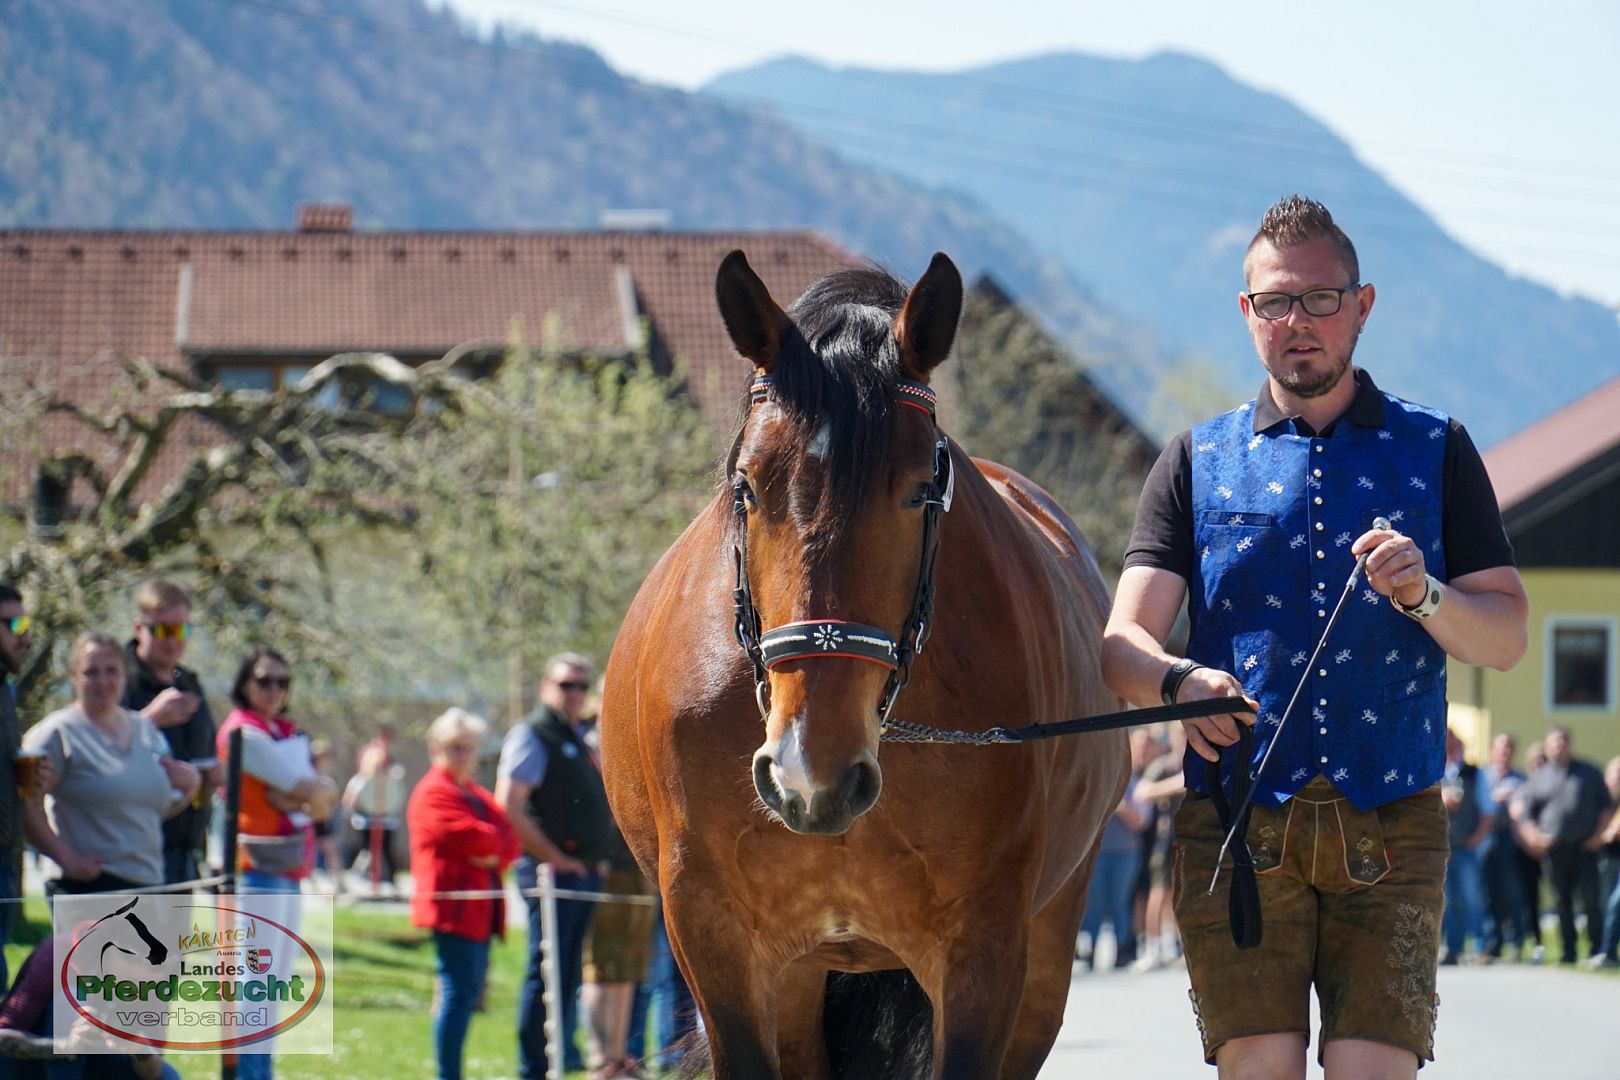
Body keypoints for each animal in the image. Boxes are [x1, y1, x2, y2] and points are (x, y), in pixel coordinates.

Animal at [599, 250, 1129, 1079]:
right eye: (746, 486)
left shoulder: (987, 948)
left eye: (920, 489)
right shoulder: (713, 939)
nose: (810, 770)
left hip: (1047, 946)